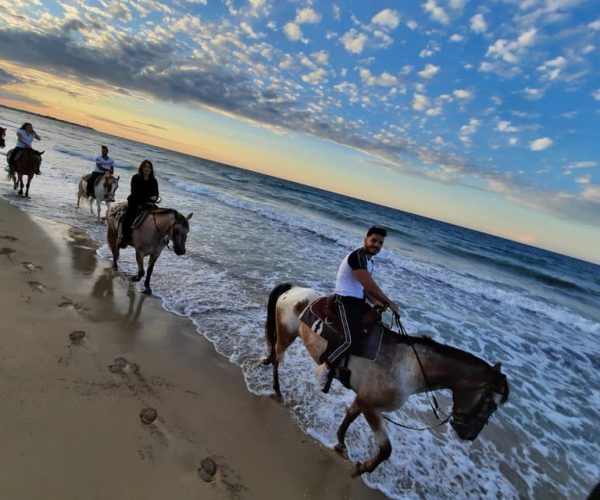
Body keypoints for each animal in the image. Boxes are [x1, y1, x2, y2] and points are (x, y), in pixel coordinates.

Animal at [262, 286, 510, 476]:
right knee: (277, 358)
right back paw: (277, 389)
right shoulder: (372, 407)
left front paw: (341, 444)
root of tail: (293, 290)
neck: (409, 367)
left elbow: (348, 419)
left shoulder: (363, 399)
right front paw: (361, 468)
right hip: (286, 336)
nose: (470, 435)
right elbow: (386, 450)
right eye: (491, 405)